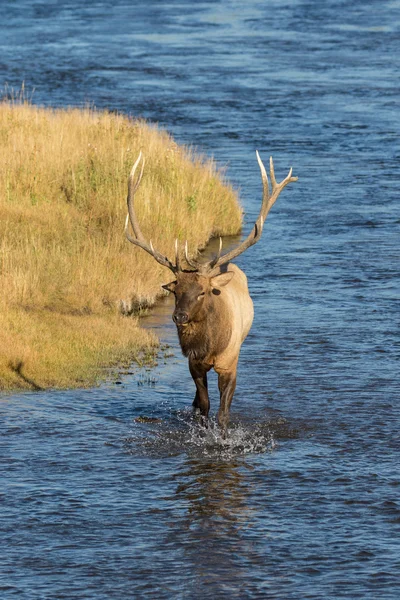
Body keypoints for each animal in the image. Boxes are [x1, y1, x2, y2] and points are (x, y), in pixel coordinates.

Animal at [125, 150, 296, 432]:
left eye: (202, 292)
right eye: (176, 290)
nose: (179, 316)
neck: (210, 346)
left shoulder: (230, 363)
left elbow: (223, 412)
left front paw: (222, 436)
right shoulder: (194, 364)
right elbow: (204, 406)